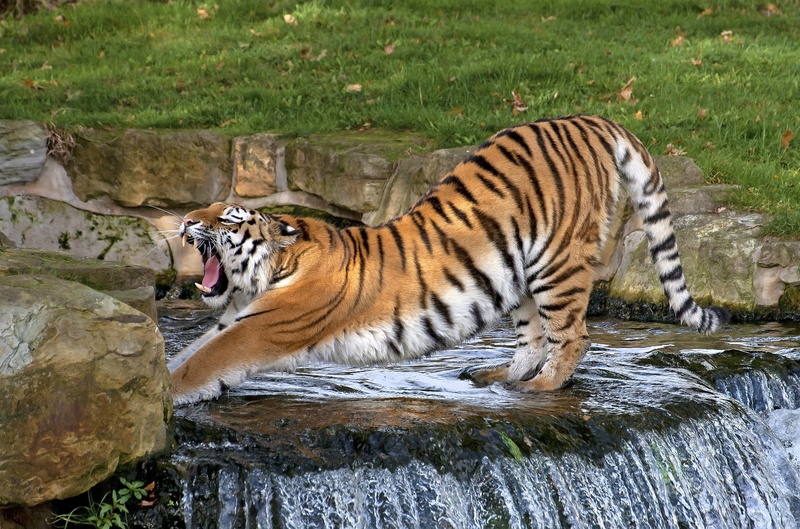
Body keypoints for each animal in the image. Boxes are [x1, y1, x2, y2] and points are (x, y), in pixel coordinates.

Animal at [169, 114, 729, 405]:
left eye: (228, 217)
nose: (185, 219)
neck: (271, 271)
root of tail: (590, 118)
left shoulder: (263, 327)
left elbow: (200, 363)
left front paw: (166, 398)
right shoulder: (235, 318)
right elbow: (188, 351)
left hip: (557, 262)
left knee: (572, 335)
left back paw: (543, 388)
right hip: (519, 269)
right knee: (533, 337)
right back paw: (499, 379)